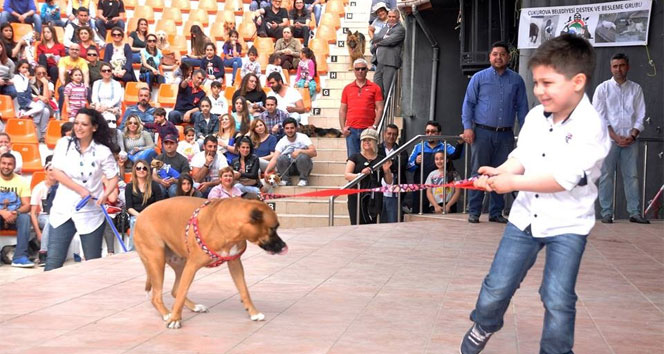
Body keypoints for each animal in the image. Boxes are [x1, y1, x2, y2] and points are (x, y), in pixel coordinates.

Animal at [134, 198, 286, 328]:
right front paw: (175, 319)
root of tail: (141, 214)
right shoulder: (192, 266)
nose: (284, 246)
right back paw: (167, 314)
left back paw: (194, 307)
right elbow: (182, 294)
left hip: (179, 264)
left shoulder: (235, 264)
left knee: (175, 290)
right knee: (157, 297)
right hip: (157, 261)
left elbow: (244, 290)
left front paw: (253, 313)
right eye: (273, 228)